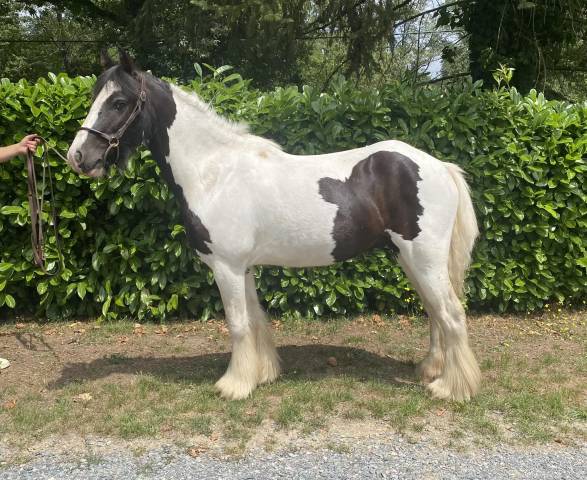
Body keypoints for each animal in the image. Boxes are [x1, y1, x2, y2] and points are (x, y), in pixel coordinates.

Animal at [69, 50, 482, 402]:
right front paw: (262, 374)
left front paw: (234, 385)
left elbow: (238, 325)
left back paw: (451, 388)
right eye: (94, 96)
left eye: (118, 102)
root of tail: (439, 166)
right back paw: (431, 370)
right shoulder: (243, 268)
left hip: (423, 259)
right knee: (435, 313)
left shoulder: (226, 267)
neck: (215, 173)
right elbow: (255, 321)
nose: (78, 156)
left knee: (451, 314)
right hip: (411, 260)